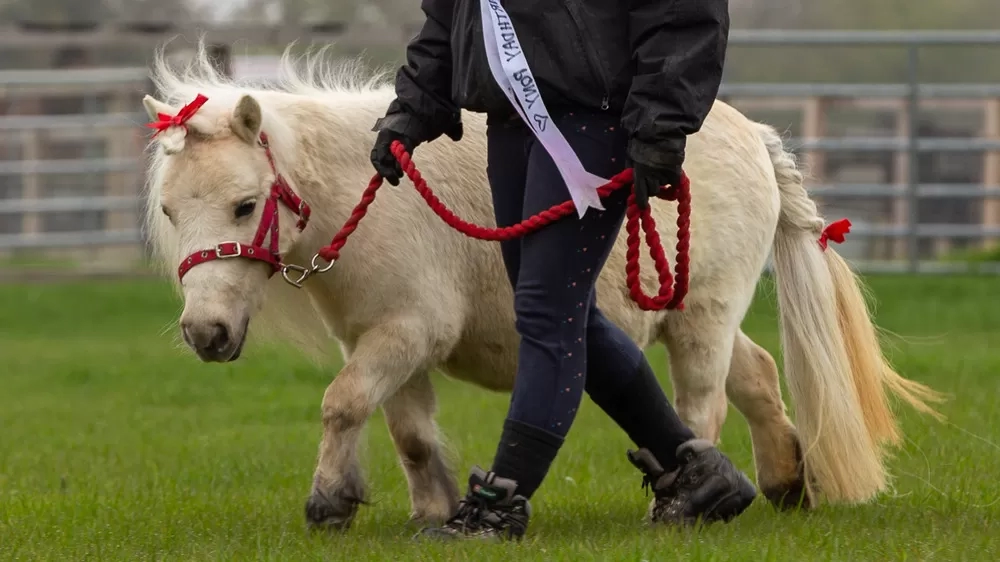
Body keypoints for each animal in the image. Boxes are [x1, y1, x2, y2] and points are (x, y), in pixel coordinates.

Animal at [141, 45, 942, 530]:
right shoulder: (382, 338)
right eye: (171, 212)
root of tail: (755, 136)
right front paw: (432, 511)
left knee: (704, 403)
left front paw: (330, 501)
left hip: (702, 319)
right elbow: (407, 433)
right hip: (692, 310)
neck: (365, 201)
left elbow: (343, 405)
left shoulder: (406, 333)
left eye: (245, 205)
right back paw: (781, 481)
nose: (206, 334)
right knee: (759, 375)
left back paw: (687, 504)